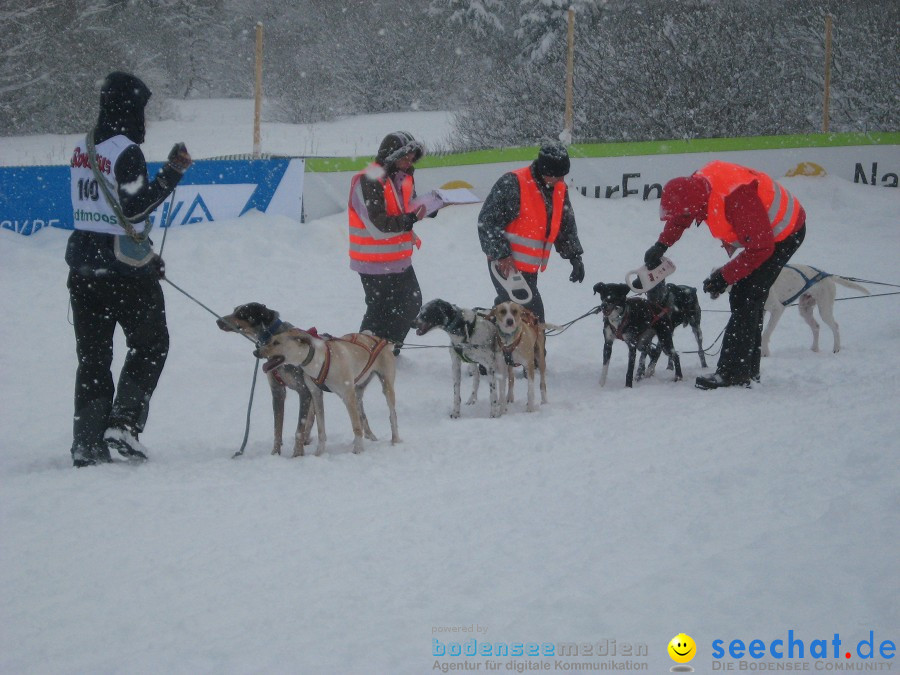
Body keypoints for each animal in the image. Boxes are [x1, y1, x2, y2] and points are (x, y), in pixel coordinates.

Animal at [256, 330, 404, 456]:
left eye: (276, 342)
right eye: (269, 340)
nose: (255, 352)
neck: (320, 360)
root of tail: (378, 338)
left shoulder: (347, 395)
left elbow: (356, 426)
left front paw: (358, 450)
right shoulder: (316, 394)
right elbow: (321, 429)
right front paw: (319, 452)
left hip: (386, 387)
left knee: (392, 415)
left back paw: (395, 440)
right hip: (358, 392)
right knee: (361, 416)